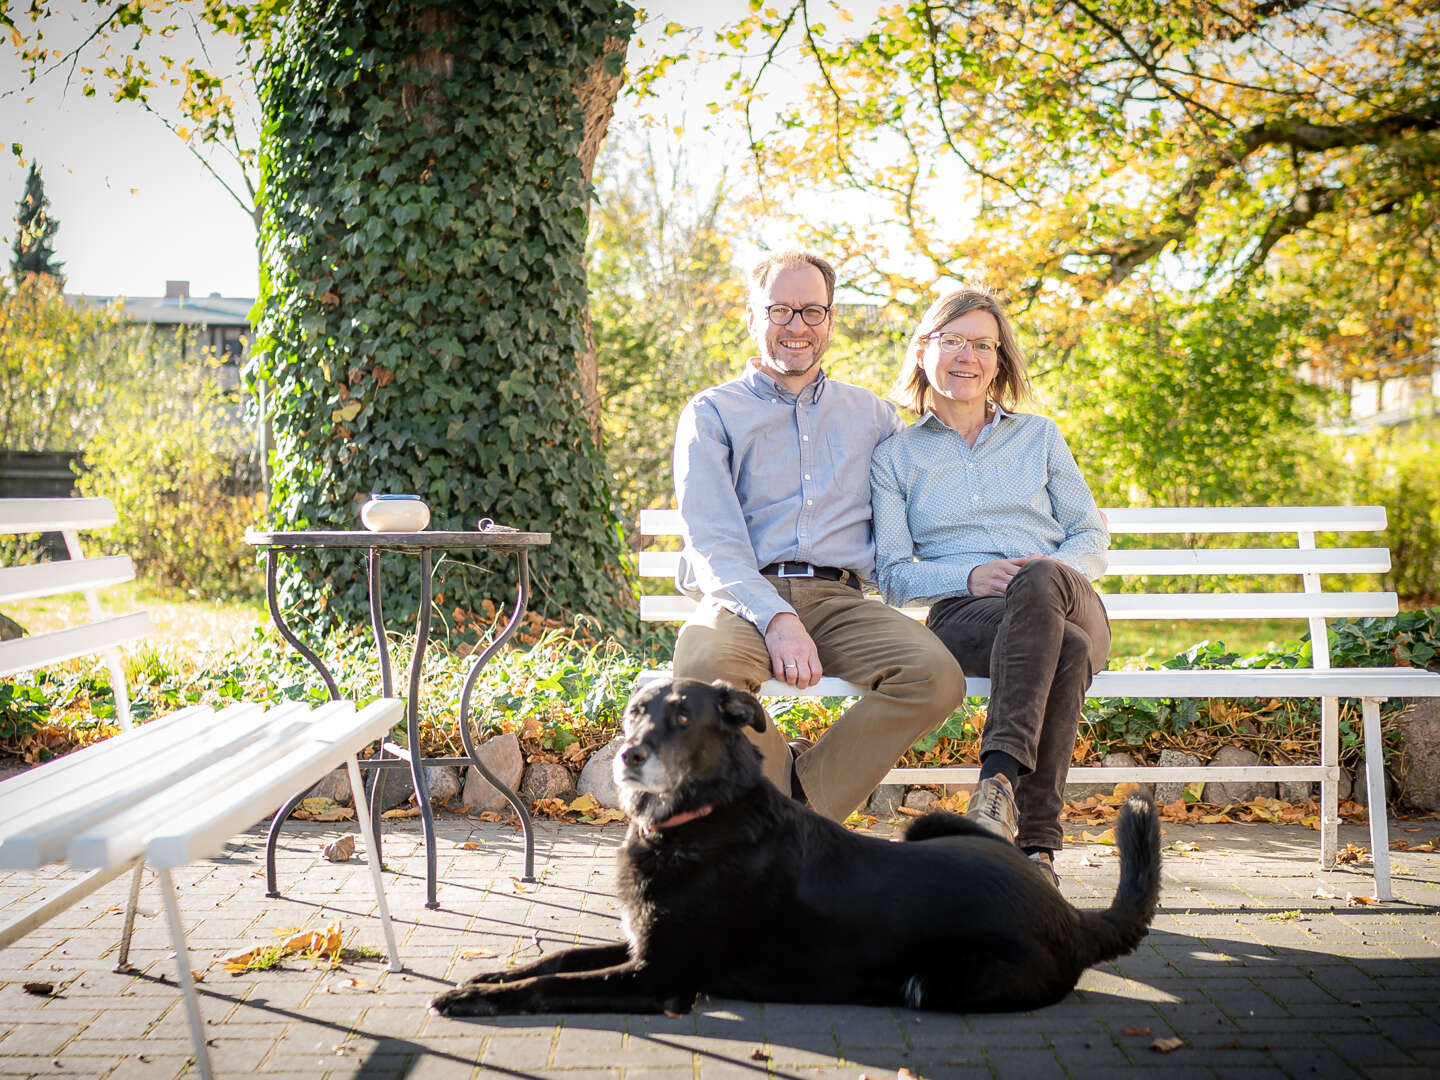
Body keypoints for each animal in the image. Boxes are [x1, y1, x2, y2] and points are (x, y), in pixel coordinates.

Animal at [426, 679, 1157, 1019]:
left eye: (682, 716)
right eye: (634, 711)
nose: (628, 756)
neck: (702, 817)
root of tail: (1072, 917)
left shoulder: (661, 977)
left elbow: (555, 985)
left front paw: (472, 1000)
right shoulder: (639, 942)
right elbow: (555, 959)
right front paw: (484, 978)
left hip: (939, 982)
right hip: (928, 826)